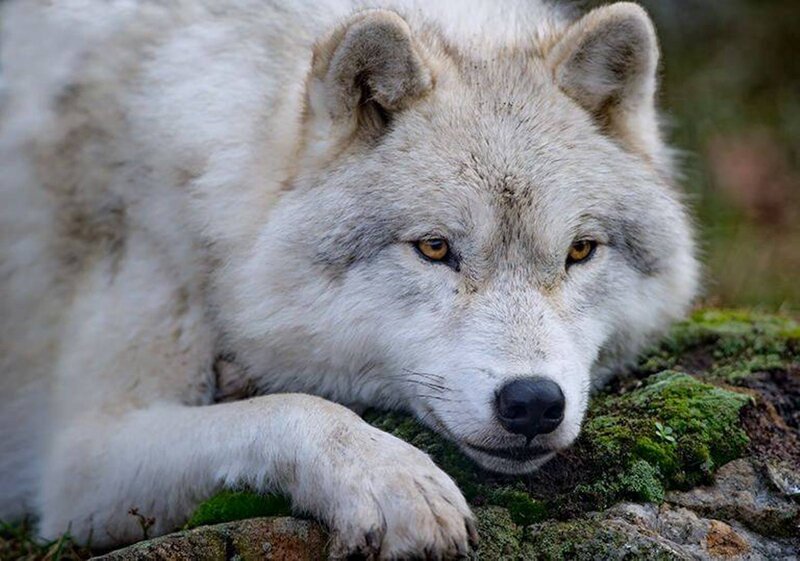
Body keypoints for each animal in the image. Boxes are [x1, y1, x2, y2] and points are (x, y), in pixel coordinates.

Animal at [0, 0, 698, 558]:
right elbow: (295, 408)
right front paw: (393, 480)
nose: (532, 402)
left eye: (579, 251)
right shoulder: (81, 464)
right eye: (434, 248)